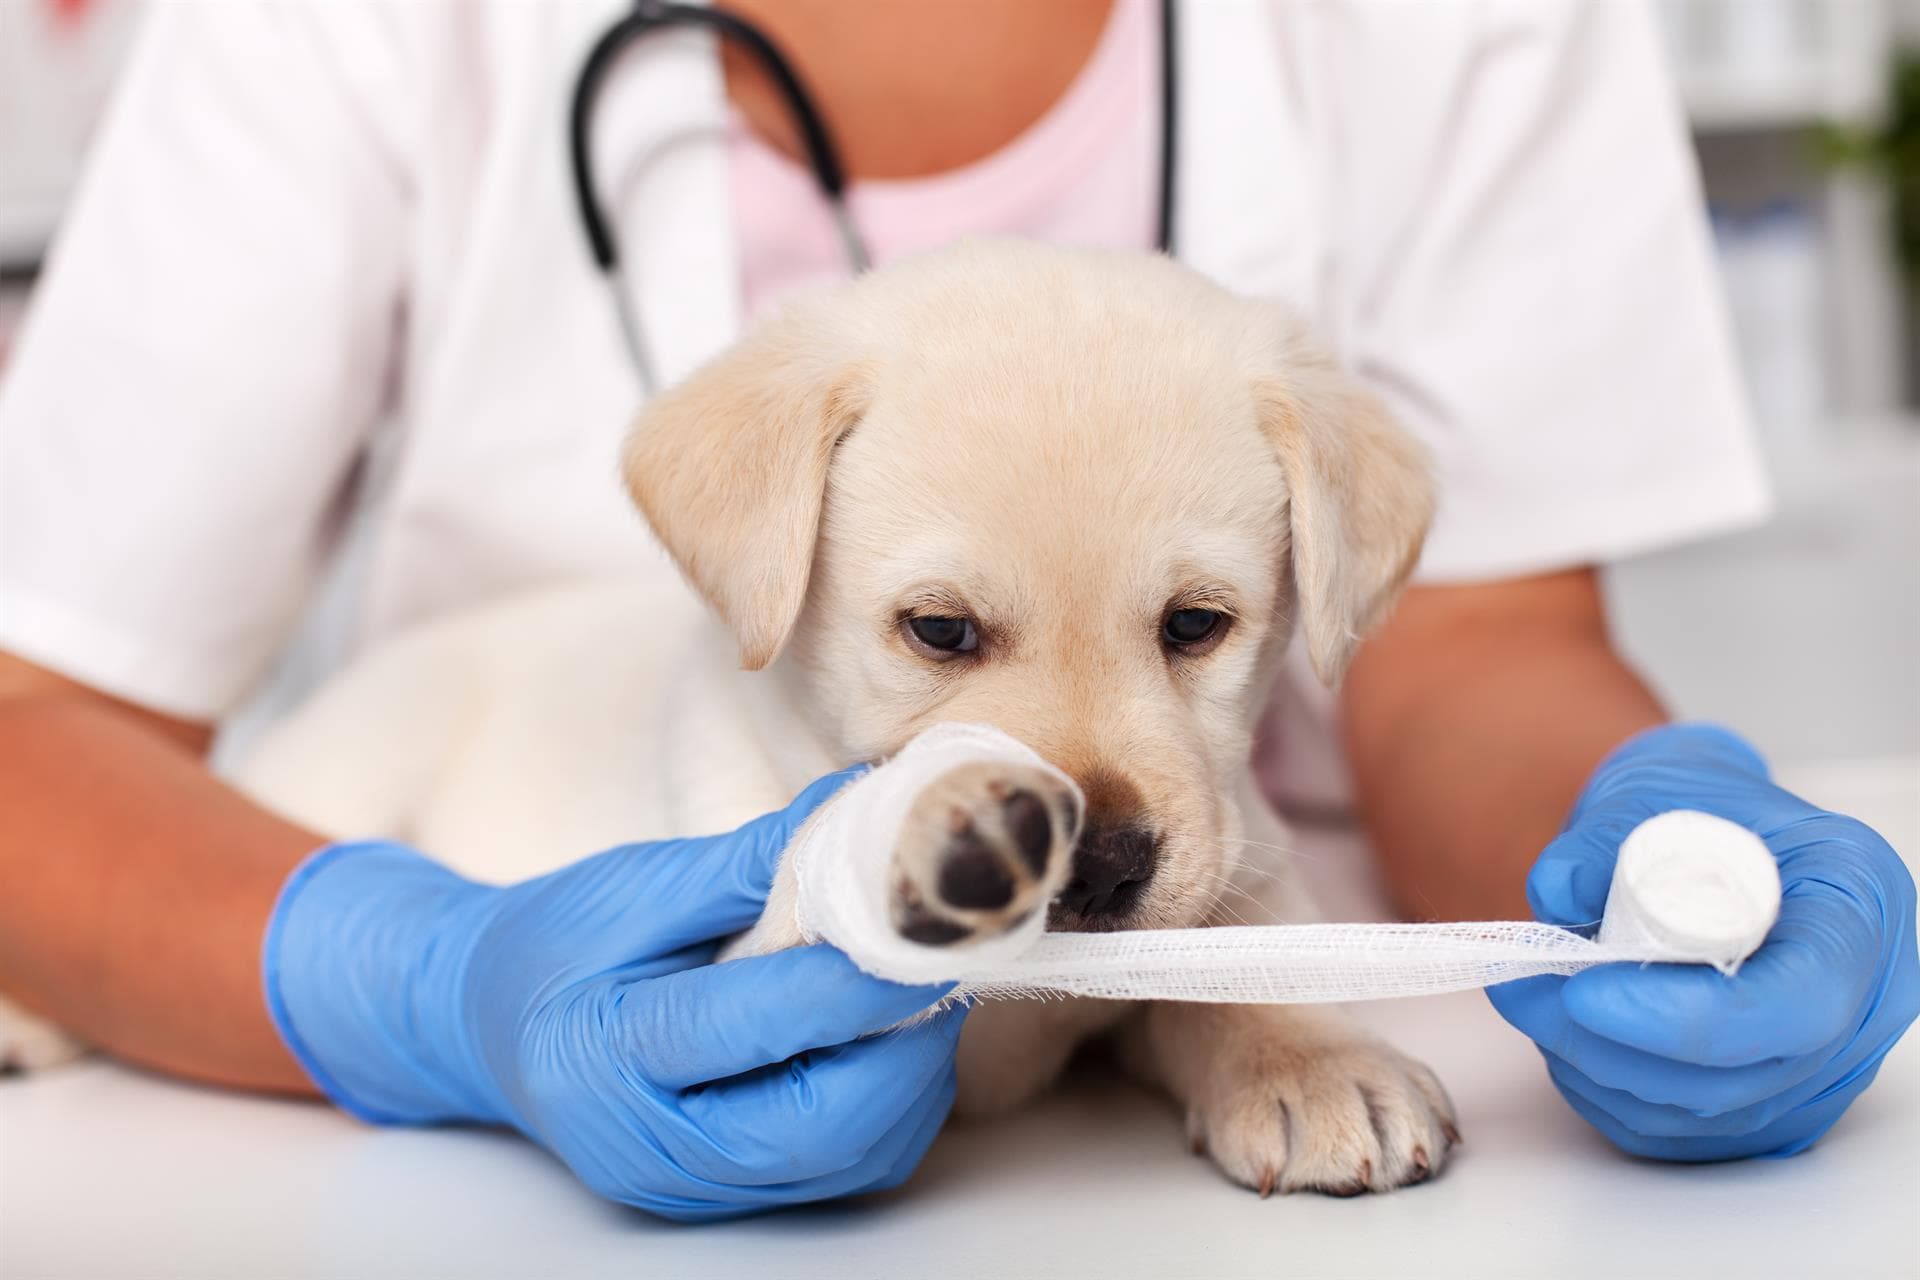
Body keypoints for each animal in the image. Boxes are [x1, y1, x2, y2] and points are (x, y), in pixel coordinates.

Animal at [3, 242, 1451, 1205]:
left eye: (1197, 624)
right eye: (939, 632)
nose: (1097, 865)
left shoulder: (1243, 853)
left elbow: (1246, 957)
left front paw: (1315, 1059)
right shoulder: (729, 943)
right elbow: (817, 884)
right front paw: (941, 830)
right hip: (340, 781)